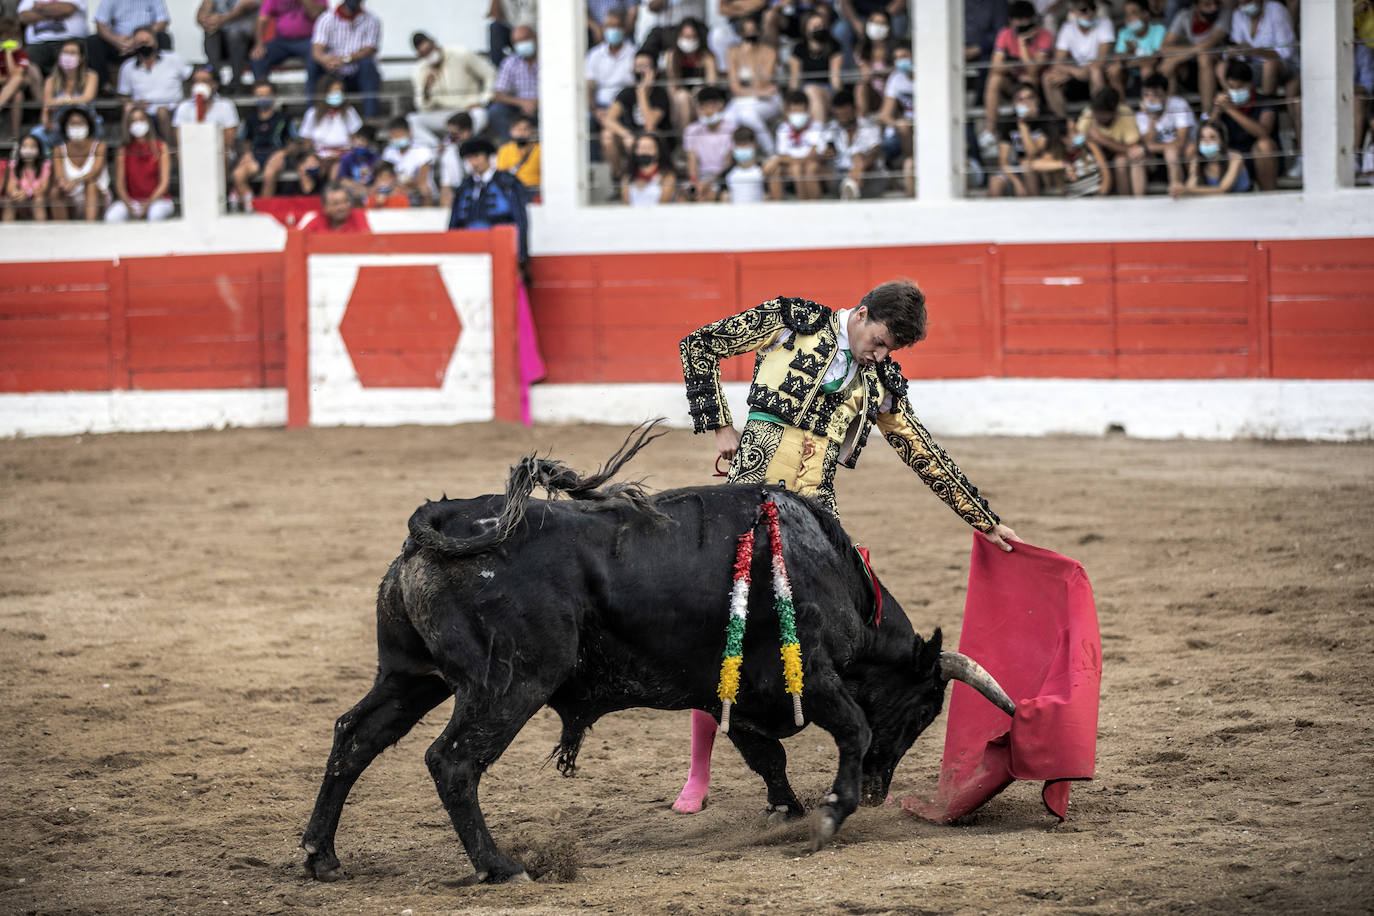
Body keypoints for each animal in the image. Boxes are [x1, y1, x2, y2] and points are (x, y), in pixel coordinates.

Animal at [300, 422, 1016, 878]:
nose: (875, 792)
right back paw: (500, 867)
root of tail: (441, 522)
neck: (831, 570)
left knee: (355, 736)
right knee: (452, 761)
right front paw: (829, 816)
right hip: (511, 683)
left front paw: (787, 811)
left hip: (412, 675)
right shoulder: (811, 677)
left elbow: (767, 754)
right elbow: (853, 728)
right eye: (924, 710)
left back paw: (321, 856)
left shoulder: (739, 691)